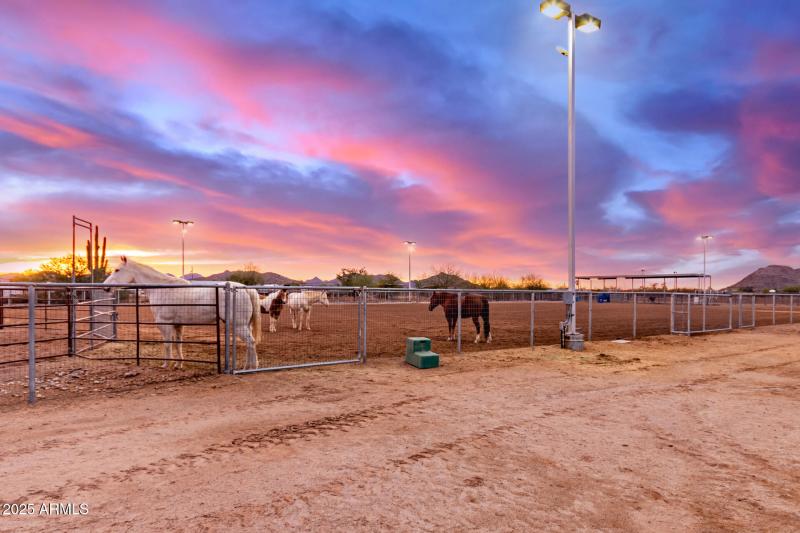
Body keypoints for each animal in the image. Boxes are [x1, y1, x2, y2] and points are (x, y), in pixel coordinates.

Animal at [103, 257, 262, 370]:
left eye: (117, 270)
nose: (105, 288)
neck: (161, 289)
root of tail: (245, 289)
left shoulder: (165, 324)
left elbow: (167, 344)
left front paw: (166, 364)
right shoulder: (178, 325)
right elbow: (178, 343)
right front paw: (179, 364)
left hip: (239, 325)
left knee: (251, 342)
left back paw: (250, 367)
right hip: (244, 325)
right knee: (250, 343)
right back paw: (249, 367)